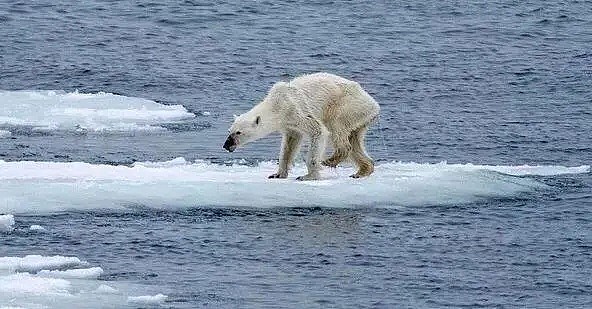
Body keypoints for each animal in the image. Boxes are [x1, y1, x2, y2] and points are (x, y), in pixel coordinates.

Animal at [222, 71, 380, 180]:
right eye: (229, 131)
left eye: (238, 132)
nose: (226, 145)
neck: (277, 104)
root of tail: (374, 104)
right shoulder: (289, 123)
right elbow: (290, 144)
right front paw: (277, 174)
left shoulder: (296, 110)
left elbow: (318, 131)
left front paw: (308, 176)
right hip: (360, 117)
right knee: (354, 140)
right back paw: (362, 171)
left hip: (346, 106)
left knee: (337, 128)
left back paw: (330, 160)